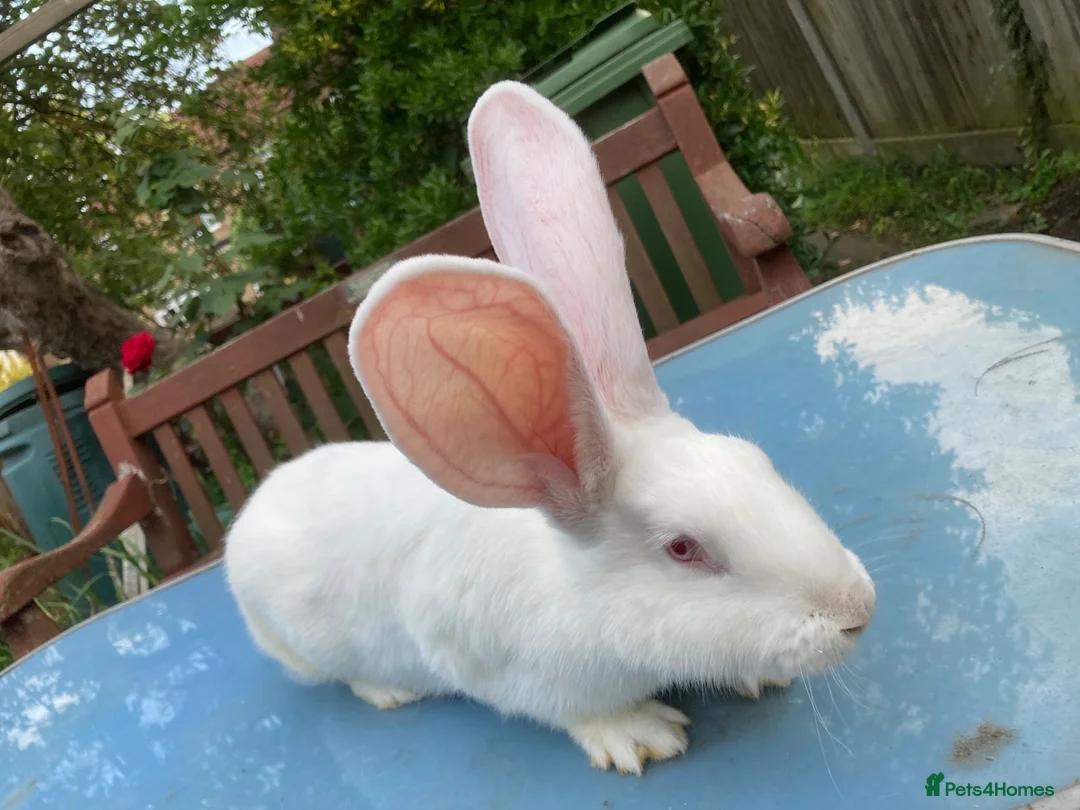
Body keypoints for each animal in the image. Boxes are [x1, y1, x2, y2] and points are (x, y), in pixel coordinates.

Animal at [223, 80, 876, 776]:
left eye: (756, 459)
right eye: (683, 549)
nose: (858, 610)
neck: (573, 588)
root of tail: (254, 509)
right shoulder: (504, 669)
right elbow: (576, 712)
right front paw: (641, 736)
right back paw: (389, 691)